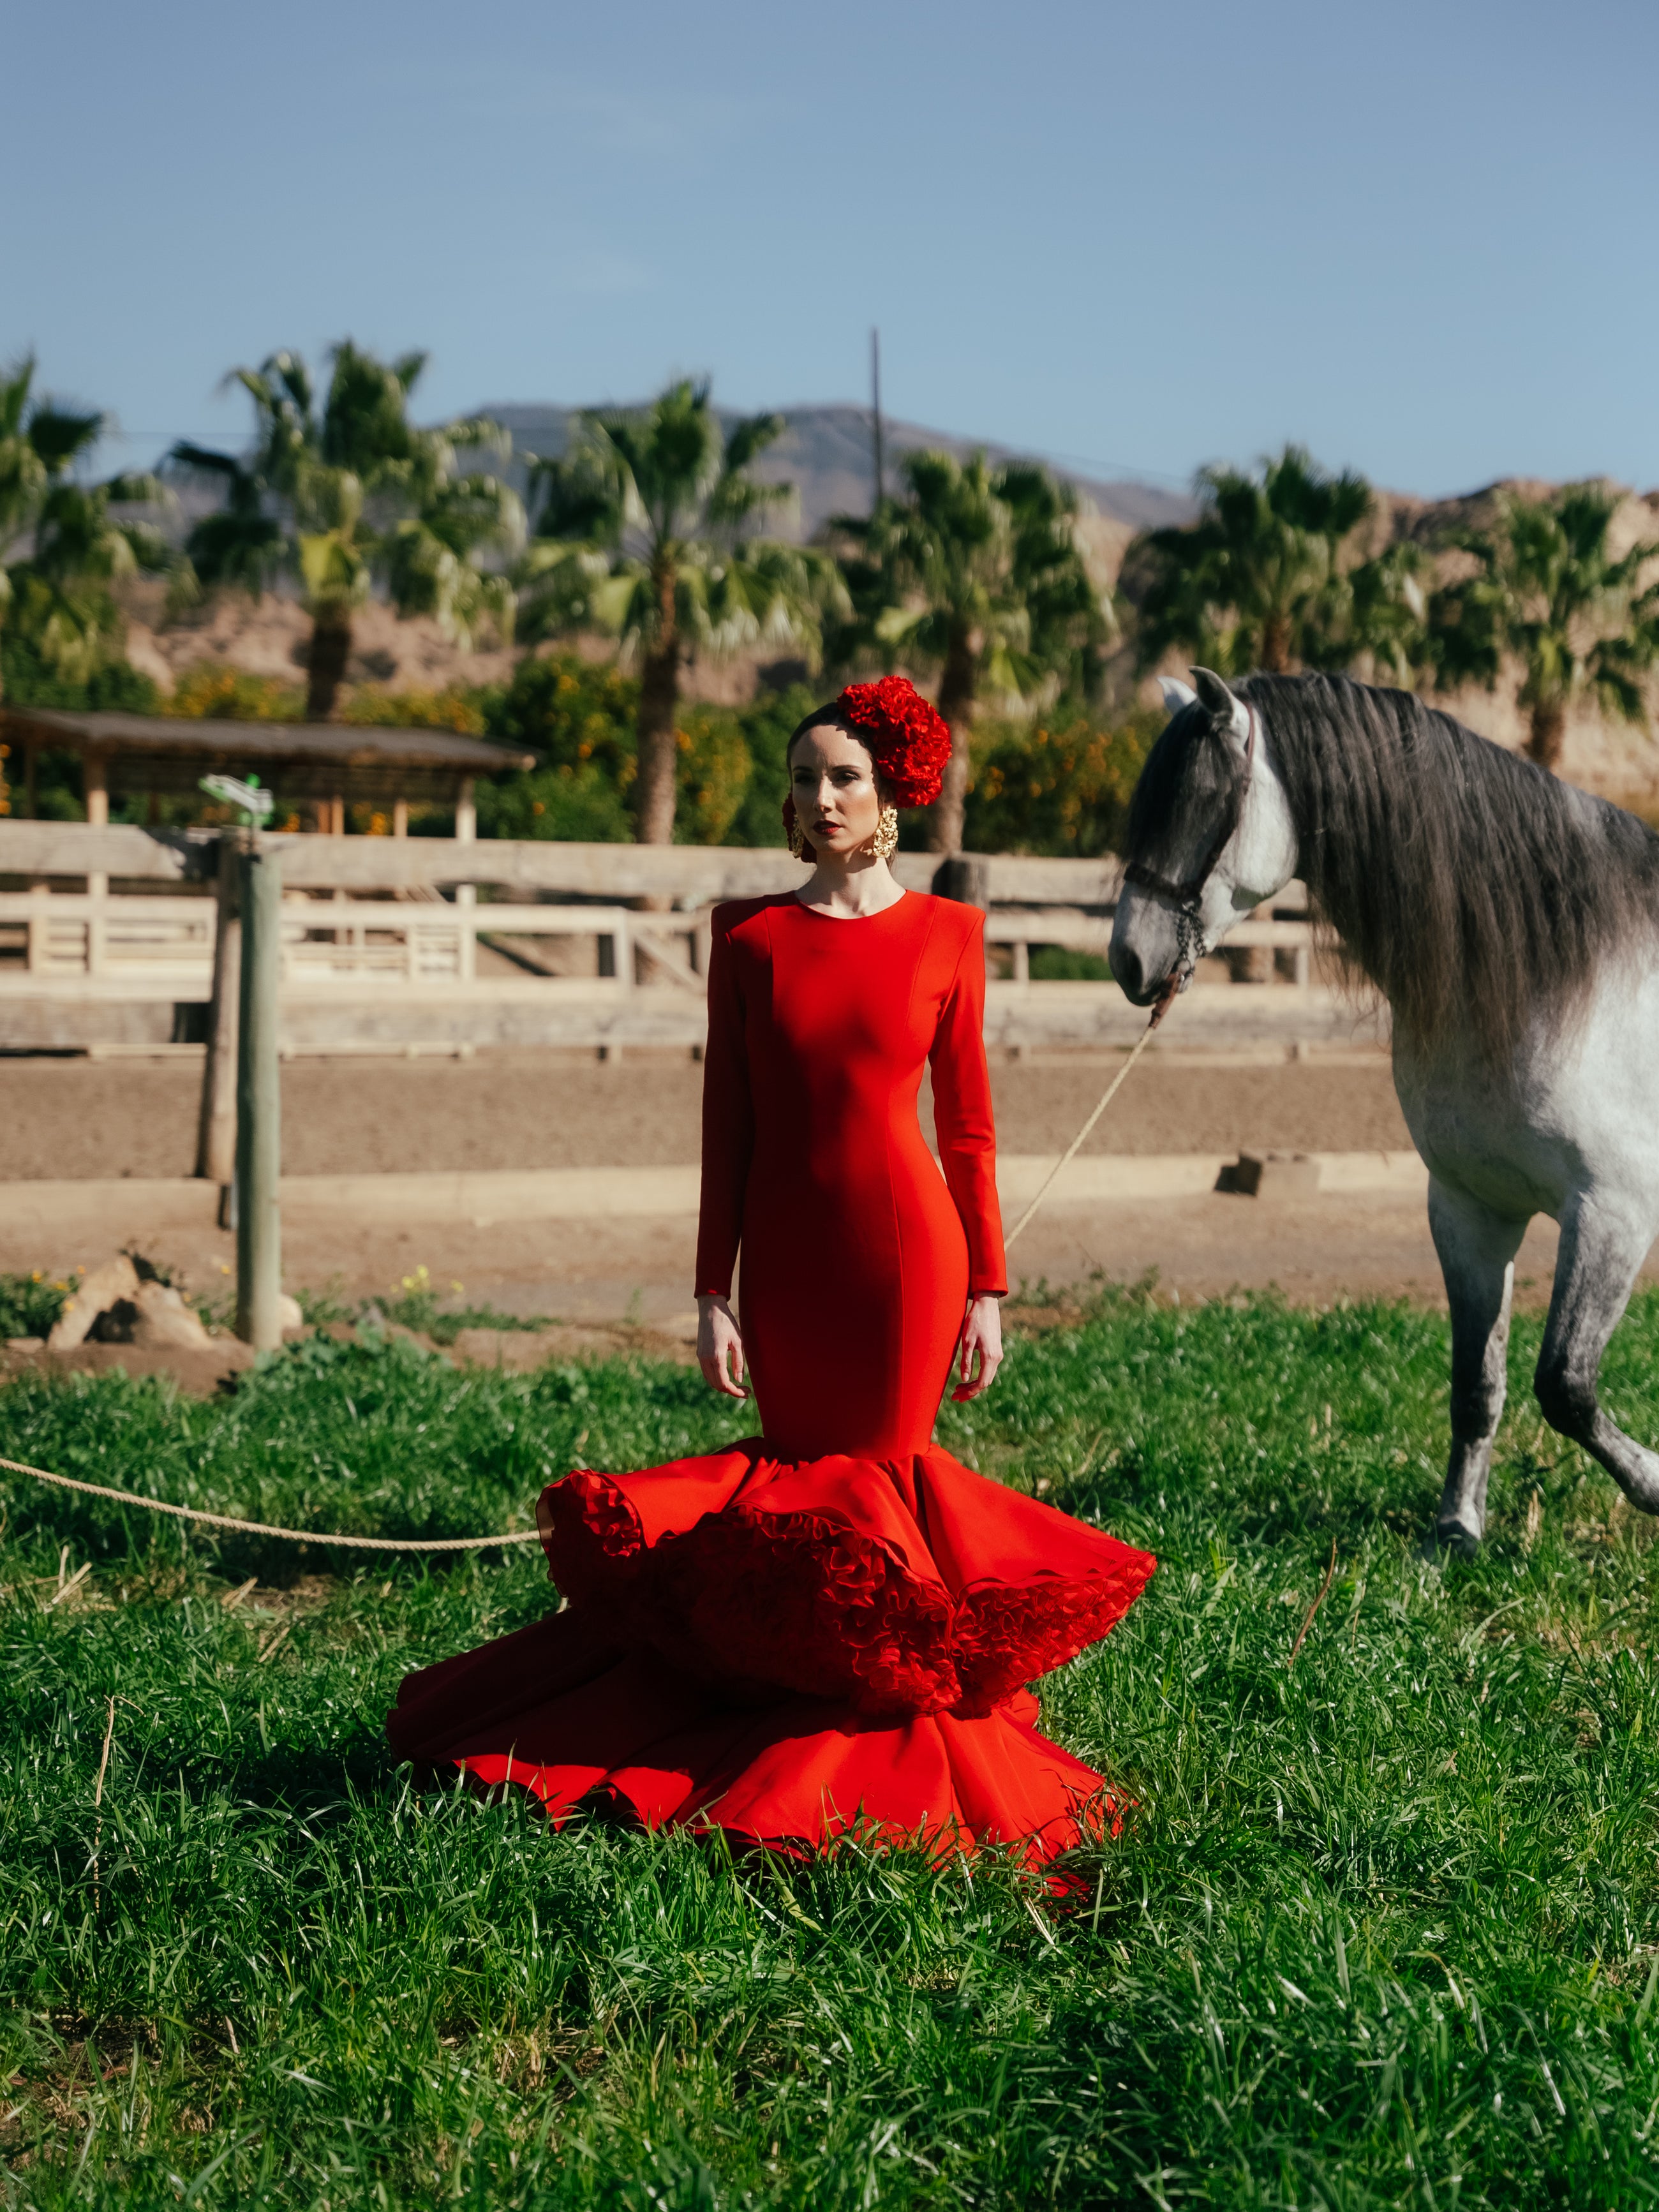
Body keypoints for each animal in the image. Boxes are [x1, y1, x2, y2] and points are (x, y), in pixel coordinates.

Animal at [1110, 672, 1659, 1557]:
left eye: (1204, 802)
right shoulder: (1469, 1208)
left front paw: (1653, 1484)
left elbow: (1564, 1384)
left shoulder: (1612, 1212)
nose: (1128, 959)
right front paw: (1455, 1531)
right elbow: (1477, 1382)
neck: (1554, 978)